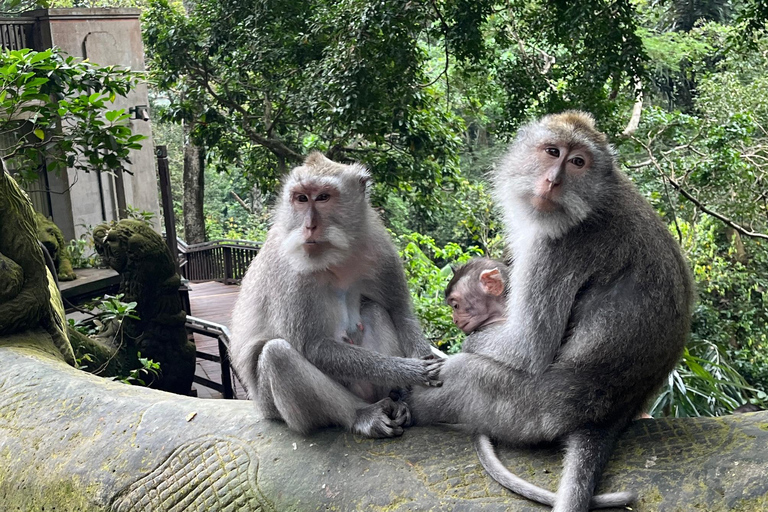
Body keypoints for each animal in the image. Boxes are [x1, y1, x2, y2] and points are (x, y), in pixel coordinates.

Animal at [229, 152, 443, 439]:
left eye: (323, 197)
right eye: (301, 198)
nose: (309, 226)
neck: (336, 255)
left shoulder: (380, 247)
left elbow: (399, 311)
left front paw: (423, 362)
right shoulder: (293, 273)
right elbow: (313, 346)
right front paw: (412, 372)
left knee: (375, 309)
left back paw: (395, 400)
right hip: (274, 408)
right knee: (277, 354)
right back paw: (364, 415)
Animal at [408, 111, 694, 512]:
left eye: (578, 162)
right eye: (552, 152)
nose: (553, 181)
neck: (593, 200)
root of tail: (613, 414)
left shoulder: (556, 248)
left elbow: (527, 347)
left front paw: (463, 346)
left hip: (531, 412)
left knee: (465, 377)